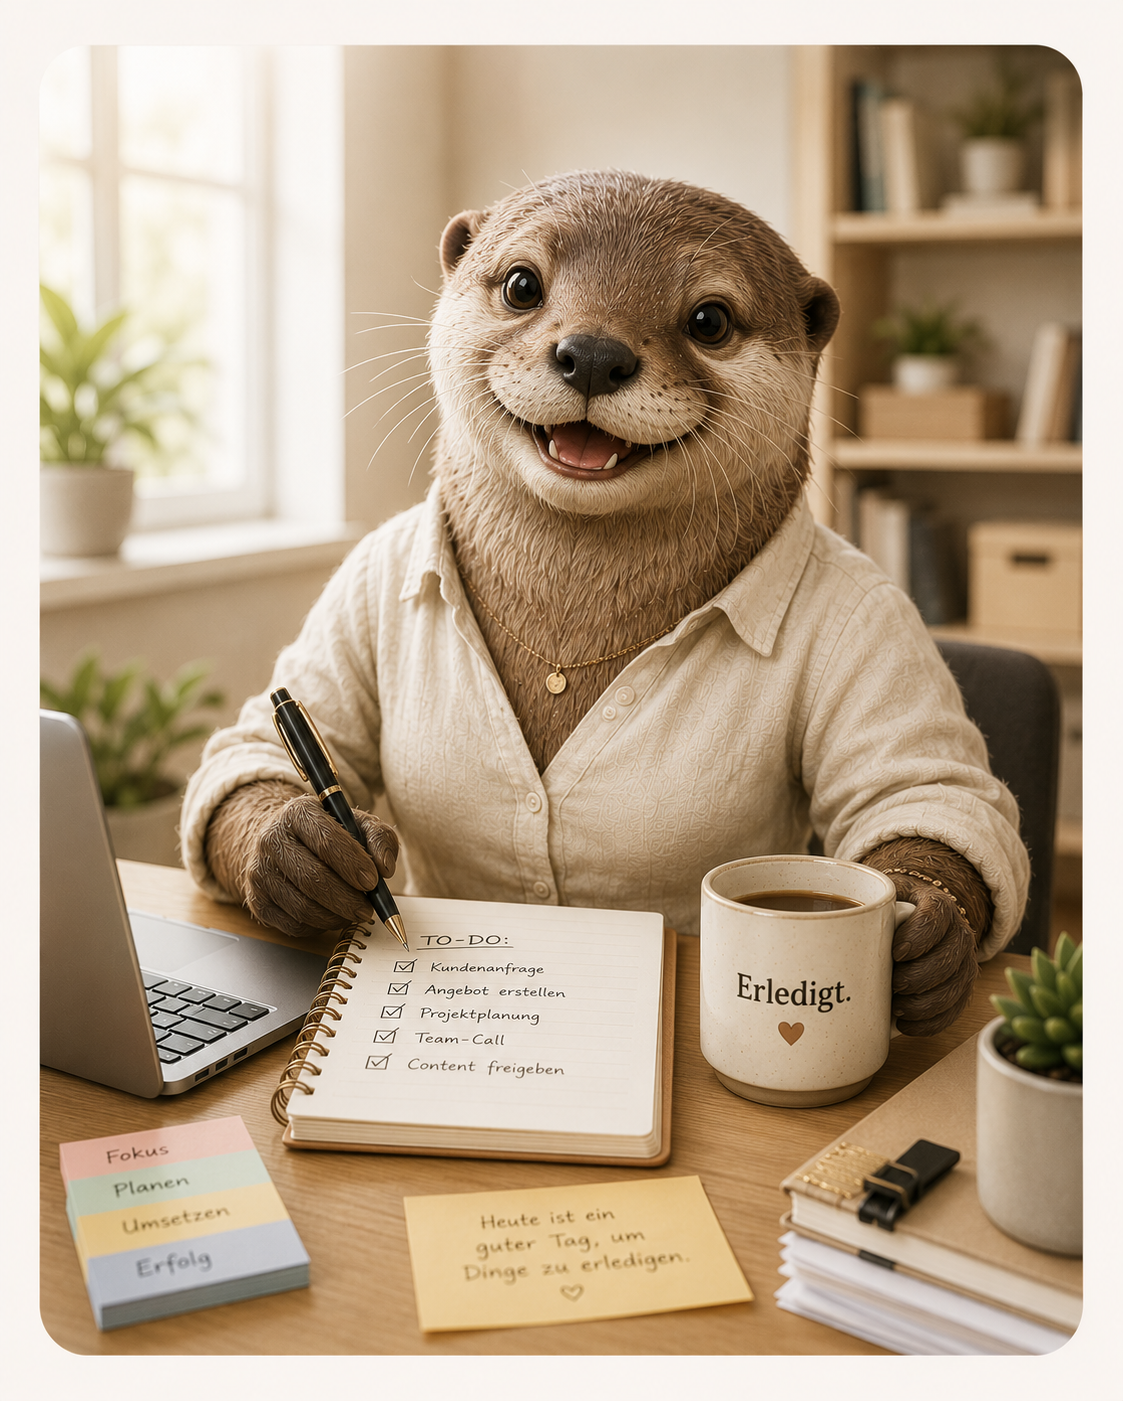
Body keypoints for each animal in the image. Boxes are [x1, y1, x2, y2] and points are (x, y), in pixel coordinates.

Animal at [187, 171, 1027, 1036]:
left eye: (709, 319)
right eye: (521, 285)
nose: (593, 352)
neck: (572, 620)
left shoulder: (875, 616)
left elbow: (929, 794)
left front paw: (924, 936)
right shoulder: (360, 574)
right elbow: (249, 741)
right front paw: (304, 853)